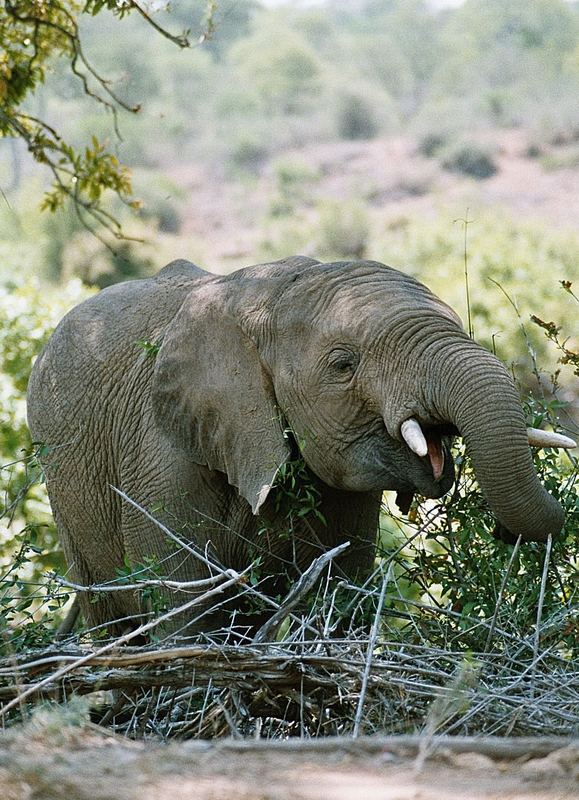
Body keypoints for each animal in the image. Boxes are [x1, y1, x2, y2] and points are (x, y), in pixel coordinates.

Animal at [27, 256, 576, 636]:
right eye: (343, 365)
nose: (506, 534)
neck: (267, 297)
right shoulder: (160, 455)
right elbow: (184, 605)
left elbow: (342, 590)